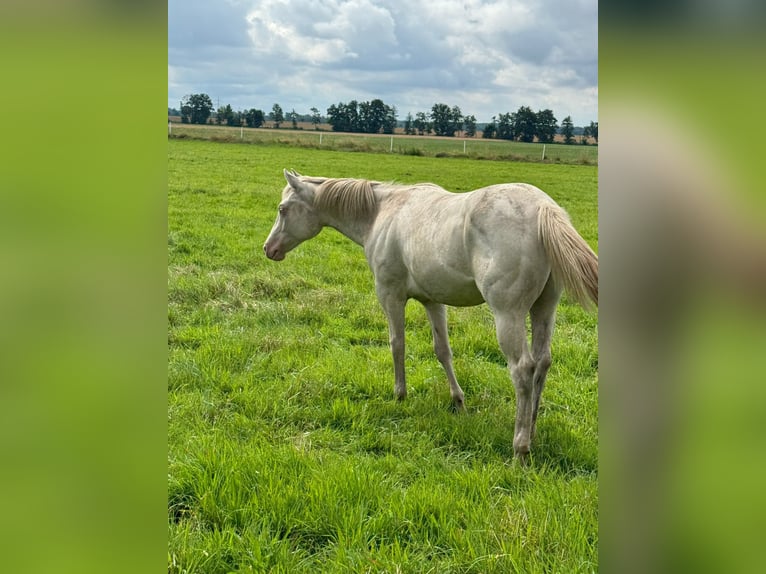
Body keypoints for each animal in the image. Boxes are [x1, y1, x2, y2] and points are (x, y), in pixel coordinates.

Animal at [266, 169, 600, 462]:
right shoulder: (433, 301)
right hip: (544, 309)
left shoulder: (390, 295)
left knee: (522, 369)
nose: (269, 249)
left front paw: (400, 395)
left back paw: (520, 447)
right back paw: (532, 429)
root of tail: (543, 208)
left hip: (509, 315)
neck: (381, 212)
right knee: (542, 362)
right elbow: (443, 351)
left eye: (283, 209)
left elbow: (397, 344)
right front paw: (458, 402)